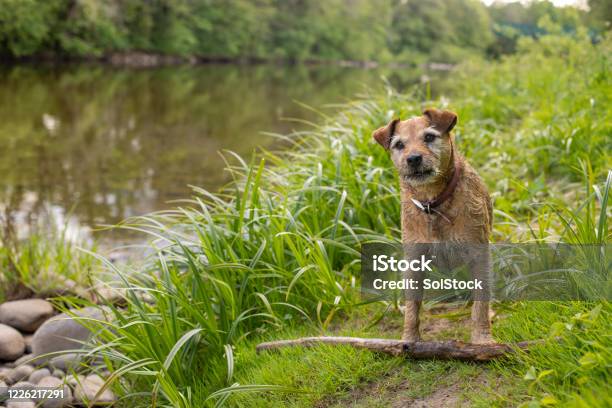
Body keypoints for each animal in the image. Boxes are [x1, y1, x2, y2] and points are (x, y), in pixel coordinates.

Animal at [370, 108, 494, 344]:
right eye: (399, 144)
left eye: (429, 137)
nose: (413, 158)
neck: (432, 202)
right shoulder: (413, 261)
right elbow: (412, 308)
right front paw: (409, 340)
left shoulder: (478, 254)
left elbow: (480, 306)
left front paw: (481, 339)